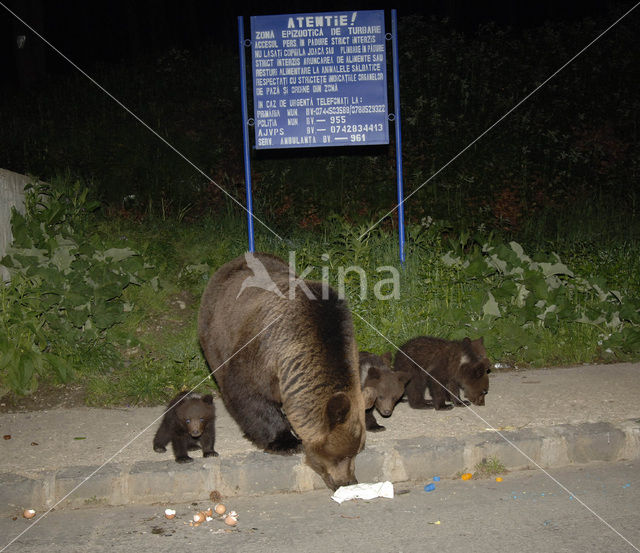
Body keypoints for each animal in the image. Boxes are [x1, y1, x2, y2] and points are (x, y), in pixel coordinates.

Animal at [196, 252, 376, 490]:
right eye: (341, 455)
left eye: (357, 451)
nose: (347, 482)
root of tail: (230, 263)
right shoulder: (263, 353)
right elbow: (250, 396)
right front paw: (285, 441)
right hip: (216, 334)